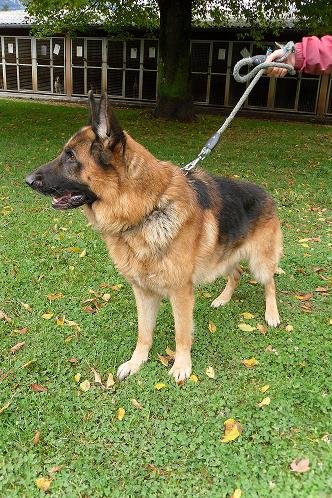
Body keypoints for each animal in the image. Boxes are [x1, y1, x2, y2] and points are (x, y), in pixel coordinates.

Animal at [25, 92, 282, 382]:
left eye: (70, 156)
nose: (28, 180)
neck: (147, 209)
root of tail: (265, 192)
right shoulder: (144, 292)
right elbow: (144, 333)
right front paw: (137, 362)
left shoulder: (181, 292)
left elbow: (182, 334)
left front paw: (181, 366)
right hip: (223, 256)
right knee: (236, 273)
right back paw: (223, 299)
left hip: (259, 263)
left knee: (270, 283)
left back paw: (272, 314)